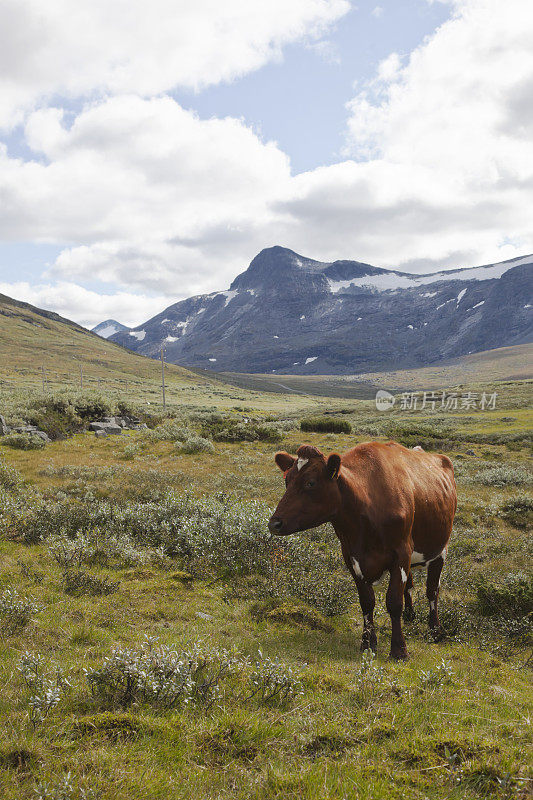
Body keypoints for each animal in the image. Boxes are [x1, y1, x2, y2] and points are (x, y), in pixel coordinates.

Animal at [268, 440, 456, 660]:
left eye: (311, 483)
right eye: (287, 480)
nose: (274, 523)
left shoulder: (401, 552)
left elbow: (394, 601)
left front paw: (399, 649)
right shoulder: (352, 557)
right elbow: (367, 602)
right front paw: (368, 643)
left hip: (440, 550)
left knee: (432, 590)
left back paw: (435, 630)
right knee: (409, 587)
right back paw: (410, 616)